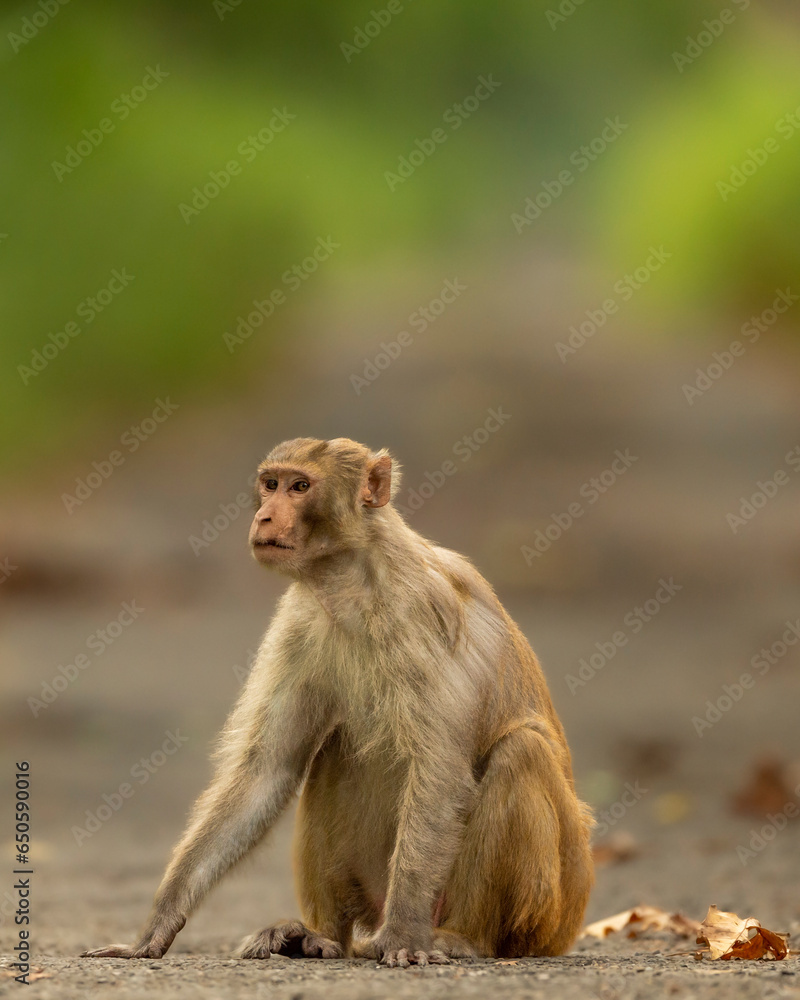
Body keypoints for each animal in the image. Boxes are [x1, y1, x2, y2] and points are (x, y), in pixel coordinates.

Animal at [82, 437, 593, 967]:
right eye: (271, 484)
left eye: (300, 487)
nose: (264, 516)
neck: (354, 578)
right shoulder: (299, 619)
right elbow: (267, 769)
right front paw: (156, 926)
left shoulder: (423, 613)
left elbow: (440, 772)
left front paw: (405, 934)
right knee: (333, 749)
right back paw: (320, 935)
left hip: (550, 912)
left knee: (521, 751)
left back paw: (463, 937)